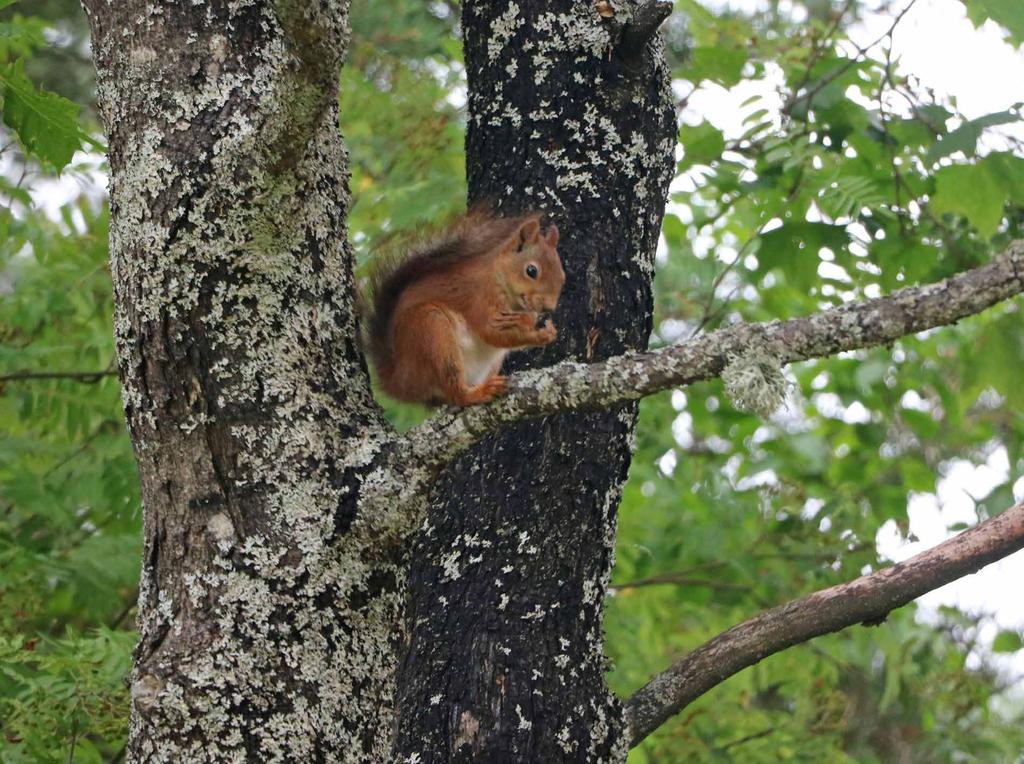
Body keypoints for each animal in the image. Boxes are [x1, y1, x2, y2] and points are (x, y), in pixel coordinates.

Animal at [364, 210, 565, 405]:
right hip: (432, 330)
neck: (498, 277)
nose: (549, 308)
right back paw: (478, 393)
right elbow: (490, 332)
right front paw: (538, 333)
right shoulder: (478, 298)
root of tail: (401, 379)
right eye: (531, 271)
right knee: (456, 393)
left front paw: (539, 326)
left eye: (562, 277)